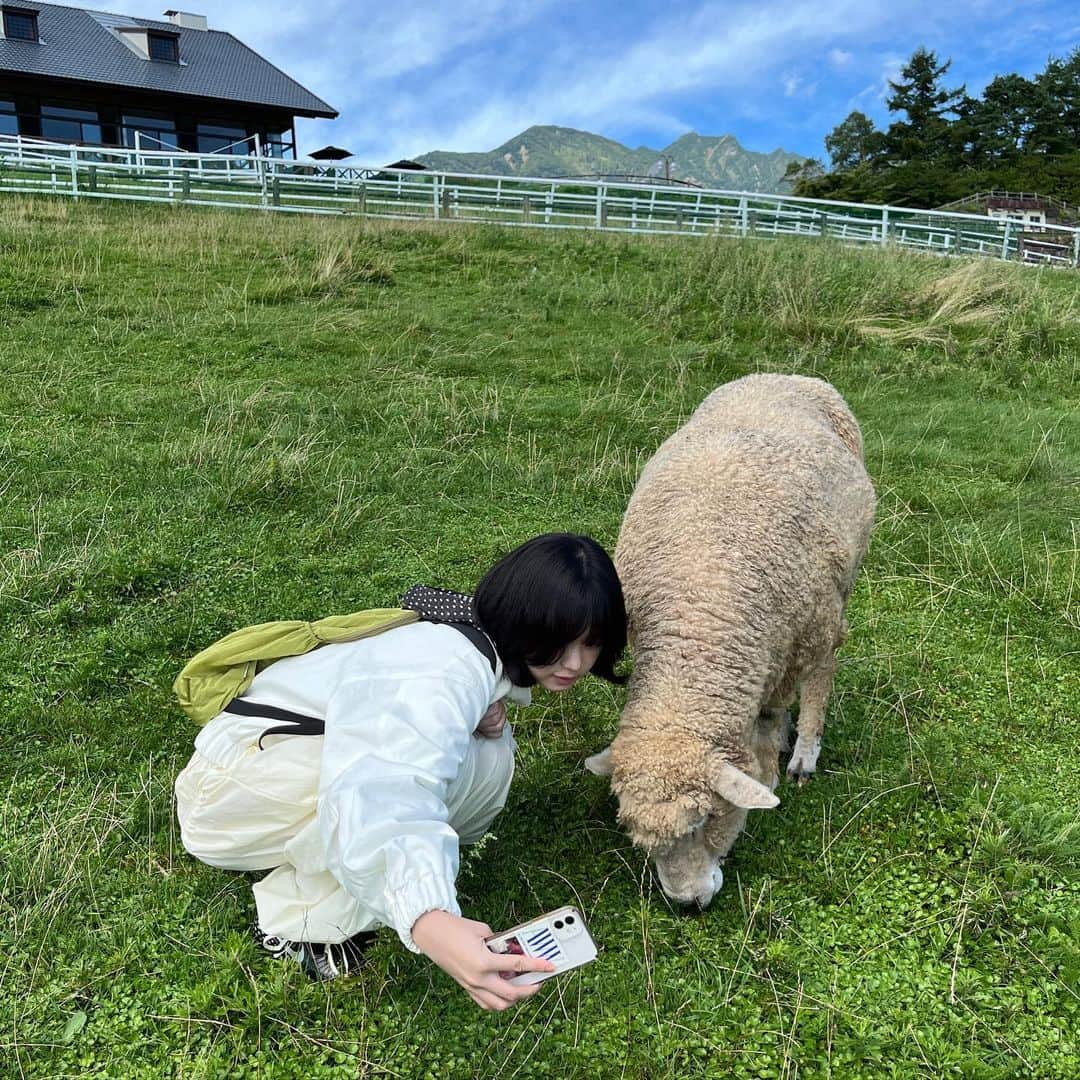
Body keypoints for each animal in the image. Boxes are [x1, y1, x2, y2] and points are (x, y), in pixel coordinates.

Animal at [587, 375, 872, 907]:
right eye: (642, 840)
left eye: (706, 819)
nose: (688, 905)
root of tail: (785, 374)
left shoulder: (788, 646)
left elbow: (771, 714)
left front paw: (769, 767)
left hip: (833, 597)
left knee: (823, 670)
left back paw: (804, 749)